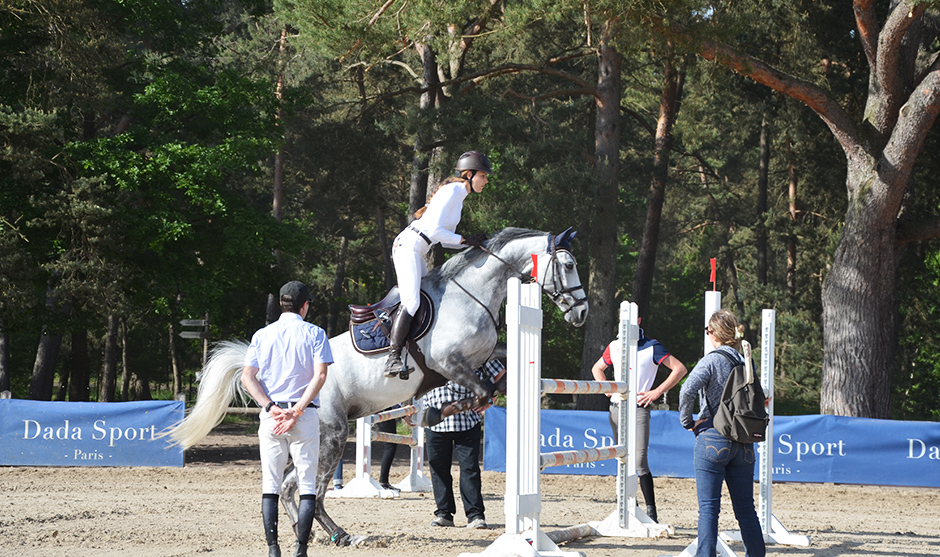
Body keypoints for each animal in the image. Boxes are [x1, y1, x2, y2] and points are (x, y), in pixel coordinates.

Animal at [165, 226, 588, 546]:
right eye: (568, 265)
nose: (581, 313)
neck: (473, 293)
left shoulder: (479, 356)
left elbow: (495, 376)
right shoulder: (448, 362)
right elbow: (481, 391)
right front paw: (435, 412)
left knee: (289, 486)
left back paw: (312, 531)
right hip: (333, 434)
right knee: (306, 489)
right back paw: (339, 534)